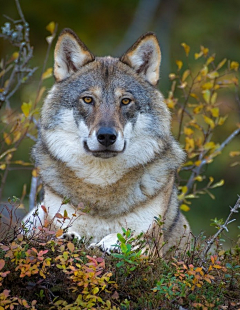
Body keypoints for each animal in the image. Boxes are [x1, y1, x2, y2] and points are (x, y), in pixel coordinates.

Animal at [23, 27, 190, 253]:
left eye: (125, 101)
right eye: (88, 99)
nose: (107, 136)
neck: (101, 185)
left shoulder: (152, 241)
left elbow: (129, 237)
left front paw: (110, 242)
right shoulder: (52, 223)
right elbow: (59, 232)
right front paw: (70, 237)